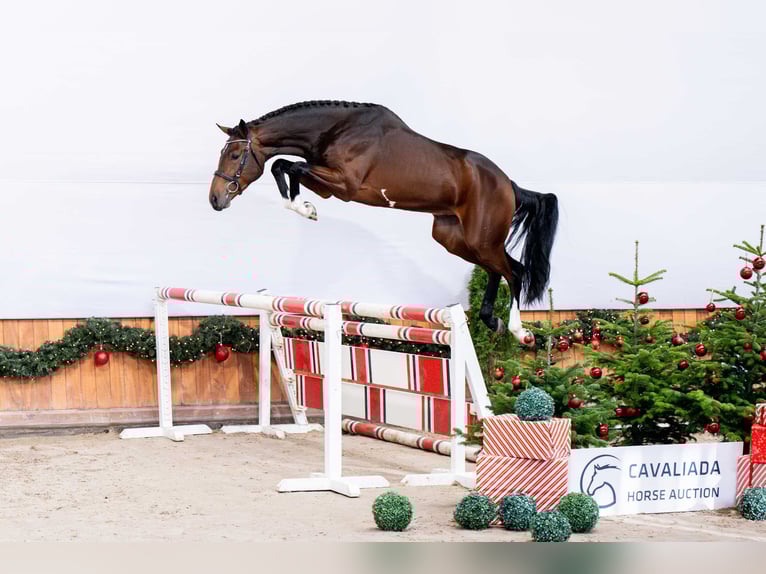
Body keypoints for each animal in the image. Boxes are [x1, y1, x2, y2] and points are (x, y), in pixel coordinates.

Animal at [209, 100, 558, 341]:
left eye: (234, 155)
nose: (215, 199)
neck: (335, 130)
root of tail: (508, 183)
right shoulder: (328, 186)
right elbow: (282, 165)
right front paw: (304, 206)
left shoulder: (344, 185)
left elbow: (289, 165)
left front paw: (306, 209)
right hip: (454, 238)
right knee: (497, 271)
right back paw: (491, 320)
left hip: (481, 239)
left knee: (516, 271)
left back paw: (518, 331)